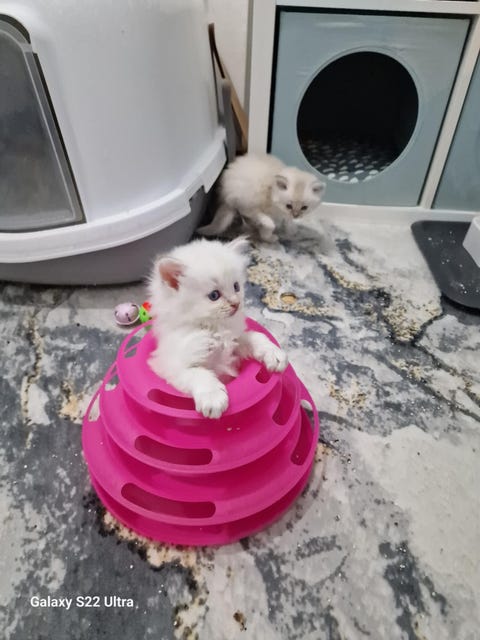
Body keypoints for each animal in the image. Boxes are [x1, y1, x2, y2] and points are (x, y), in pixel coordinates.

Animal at [148, 236, 288, 418]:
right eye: (214, 295)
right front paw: (213, 398)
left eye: (236, 286)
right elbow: (199, 374)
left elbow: (255, 337)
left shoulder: (235, 343)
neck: (214, 327)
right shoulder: (170, 365)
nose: (236, 303)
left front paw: (274, 354)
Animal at [197, 153, 326, 242]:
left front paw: (291, 229)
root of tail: (225, 193)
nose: (296, 215)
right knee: (247, 212)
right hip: (248, 196)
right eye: (288, 206)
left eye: (304, 208)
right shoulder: (266, 209)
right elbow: (268, 226)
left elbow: (287, 221)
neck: (272, 190)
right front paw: (269, 237)